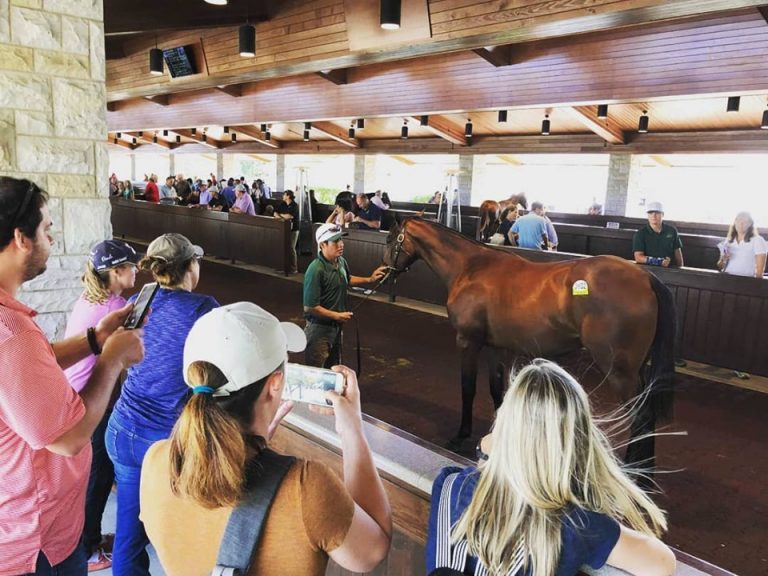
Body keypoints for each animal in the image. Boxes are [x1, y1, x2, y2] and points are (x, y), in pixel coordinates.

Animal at [384, 217, 672, 468]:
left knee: (641, 417)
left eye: (390, 239)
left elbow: (468, 388)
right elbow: (496, 389)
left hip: (619, 371)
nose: (384, 273)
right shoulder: (494, 347)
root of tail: (645, 277)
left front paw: (460, 436)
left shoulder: (468, 342)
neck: (470, 269)